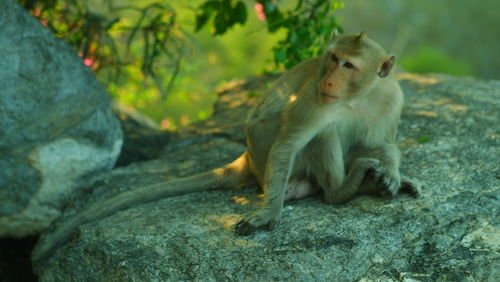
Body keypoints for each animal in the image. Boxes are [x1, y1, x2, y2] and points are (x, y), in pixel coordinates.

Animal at [31, 32, 420, 264]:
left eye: (349, 64)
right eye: (333, 58)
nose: (328, 80)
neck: (359, 96)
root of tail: (246, 156)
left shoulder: (392, 98)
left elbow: (382, 143)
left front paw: (391, 175)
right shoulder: (314, 100)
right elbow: (289, 144)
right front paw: (268, 213)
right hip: (262, 146)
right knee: (318, 137)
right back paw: (341, 190)